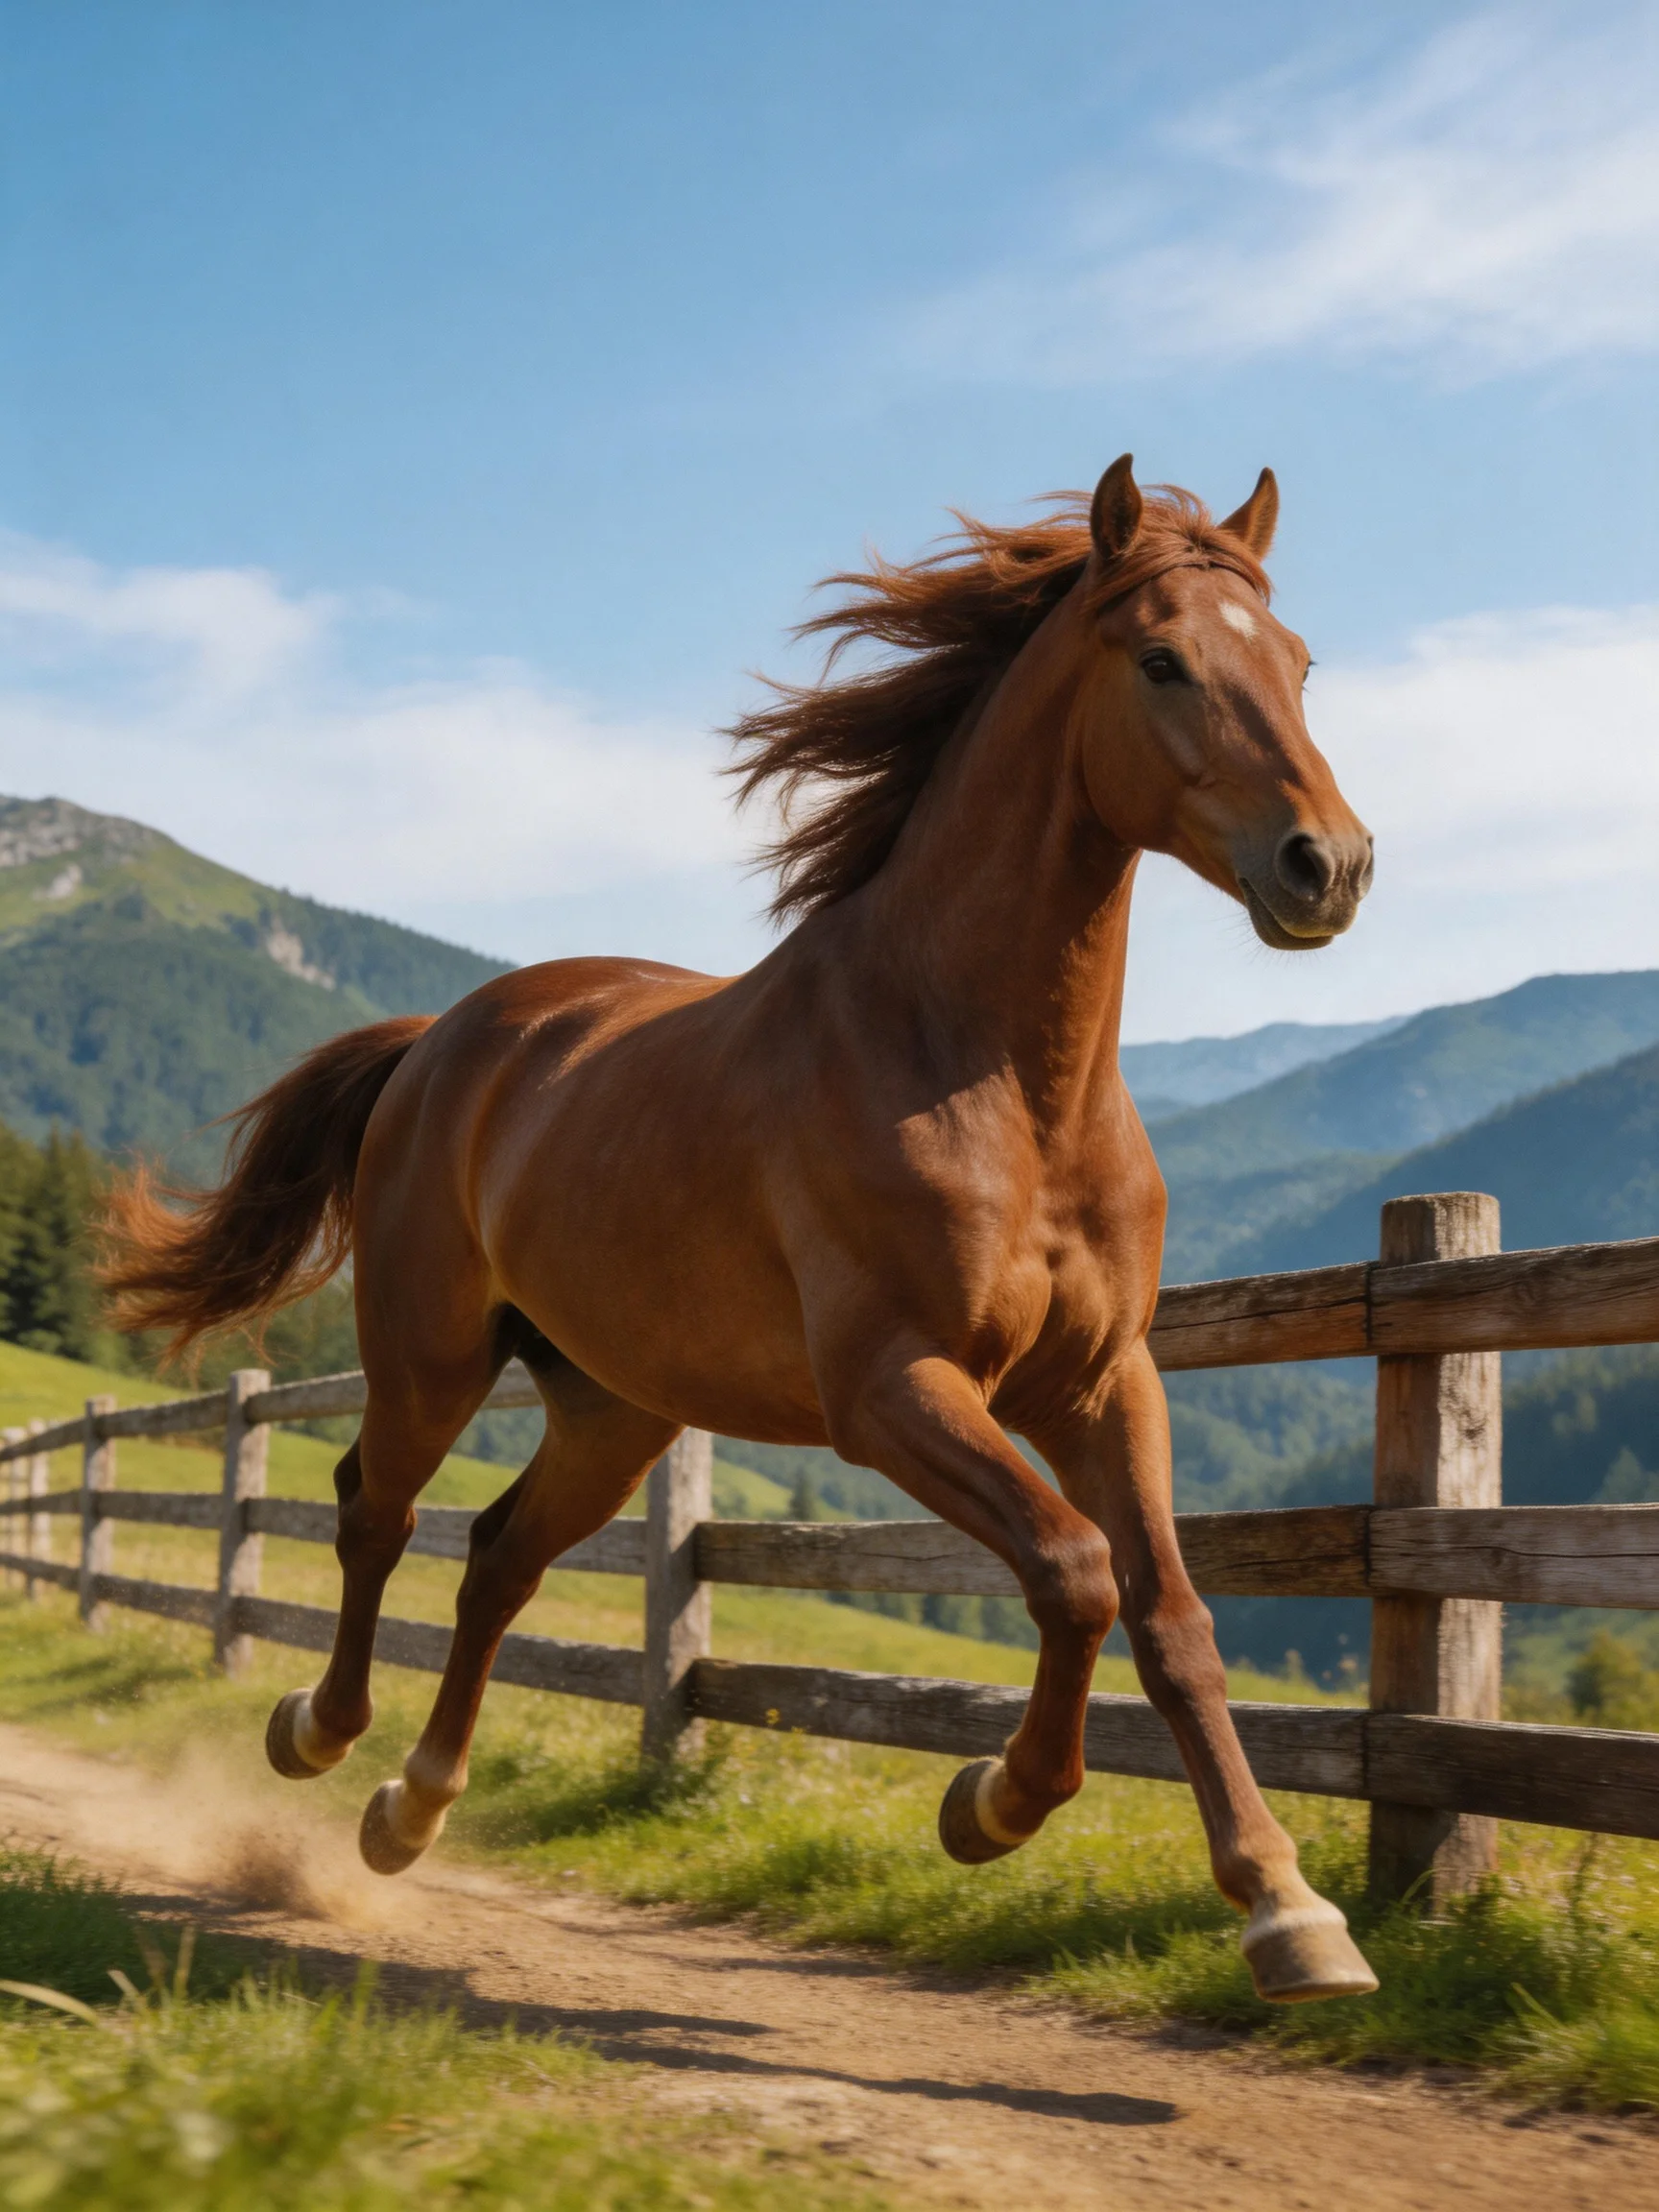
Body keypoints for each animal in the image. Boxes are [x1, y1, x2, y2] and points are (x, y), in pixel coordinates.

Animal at [103, 454, 1378, 2004]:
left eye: (1300, 662)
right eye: (1162, 661)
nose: (1329, 867)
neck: (990, 1076)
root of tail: (441, 1039)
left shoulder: (1099, 1384)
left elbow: (1174, 1621)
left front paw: (1289, 1912)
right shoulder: (891, 1391)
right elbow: (1074, 1574)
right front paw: (990, 1807)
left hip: (615, 1407)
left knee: (498, 1559)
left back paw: (411, 1808)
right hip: (431, 1356)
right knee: (375, 1511)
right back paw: (319, 1734)